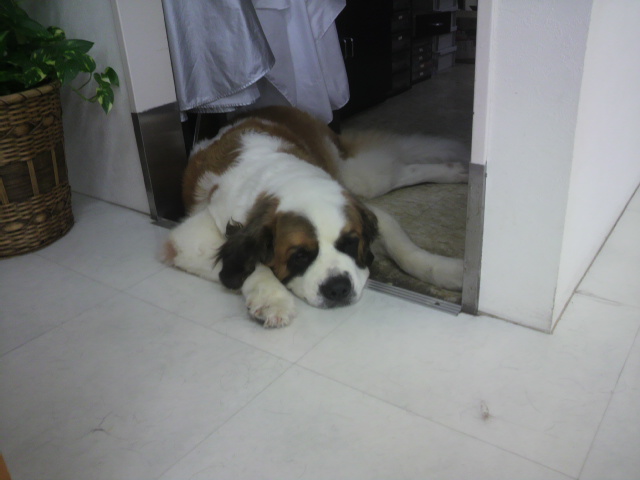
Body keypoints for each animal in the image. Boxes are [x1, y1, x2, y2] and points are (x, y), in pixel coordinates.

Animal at [163, 106, 468, 327]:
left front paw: (448, 271)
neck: (285, 179)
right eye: (299, 256)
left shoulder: (358, 204)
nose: (338, 288)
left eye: (350, 243)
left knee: (401, 170)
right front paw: (272, 299)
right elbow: (251, 265)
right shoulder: (185, 241)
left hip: (357, 176)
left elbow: (404, 248)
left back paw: (457, 170)